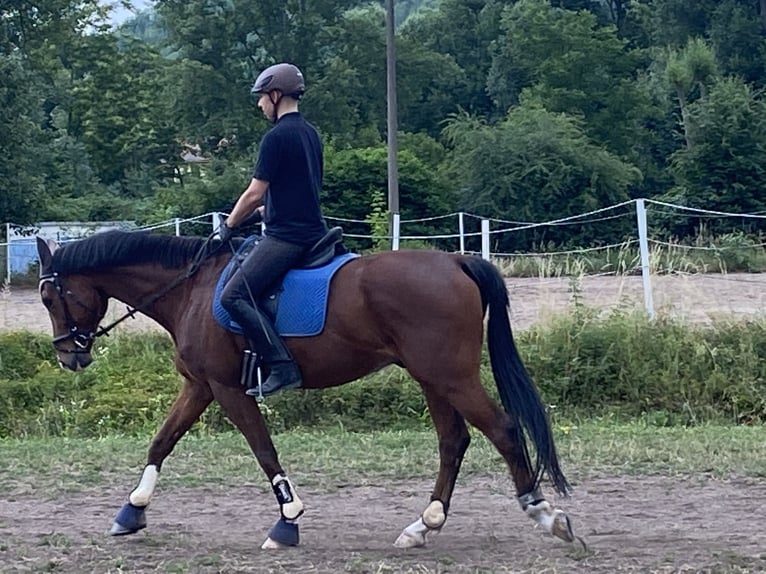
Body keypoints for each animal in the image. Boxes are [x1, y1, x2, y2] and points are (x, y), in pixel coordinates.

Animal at [35, 229, 579, 550]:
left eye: (50, 296)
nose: (69, 356)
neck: (192, 289)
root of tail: (455, 262)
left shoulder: (228, 389)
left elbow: (263, 450)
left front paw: (288, 520)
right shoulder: (200, 386)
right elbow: (161, 441)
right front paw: (132, 510)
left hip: (450, 375)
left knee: (502, 430)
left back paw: (544, 514)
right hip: (432, 376)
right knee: (454, 440)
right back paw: (424, 524)